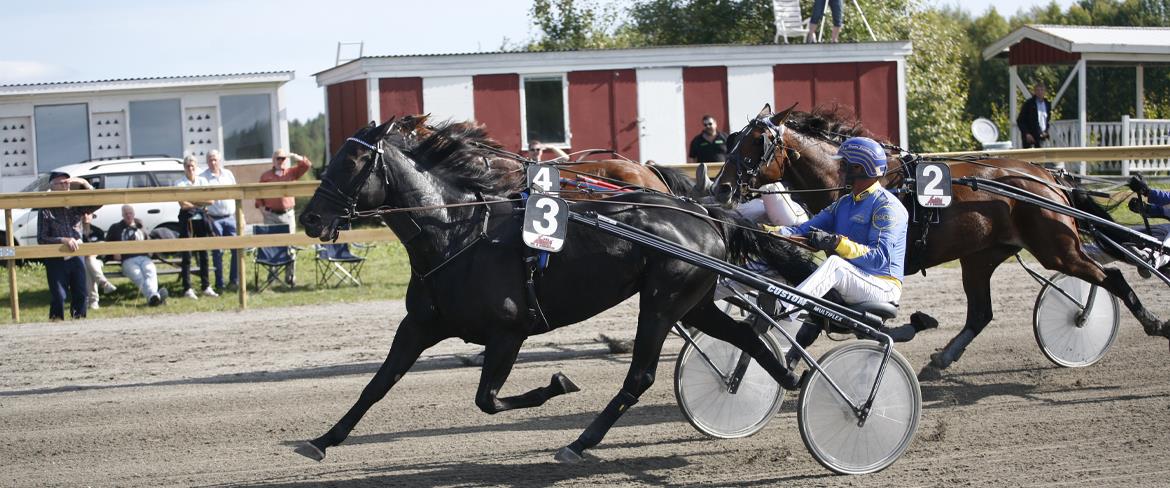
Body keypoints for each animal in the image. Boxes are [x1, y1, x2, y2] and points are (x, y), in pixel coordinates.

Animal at [709, 104, 1169, 378]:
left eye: (755, 143)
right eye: (734, 140)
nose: (721, 188)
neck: (853, 181)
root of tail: (1047, 177)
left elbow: (819, 320)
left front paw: (787, 359)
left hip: (1058, 249)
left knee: (1112, 276)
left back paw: (1150, 322)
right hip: (981, 257)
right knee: (981, 314)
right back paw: (942, 358)